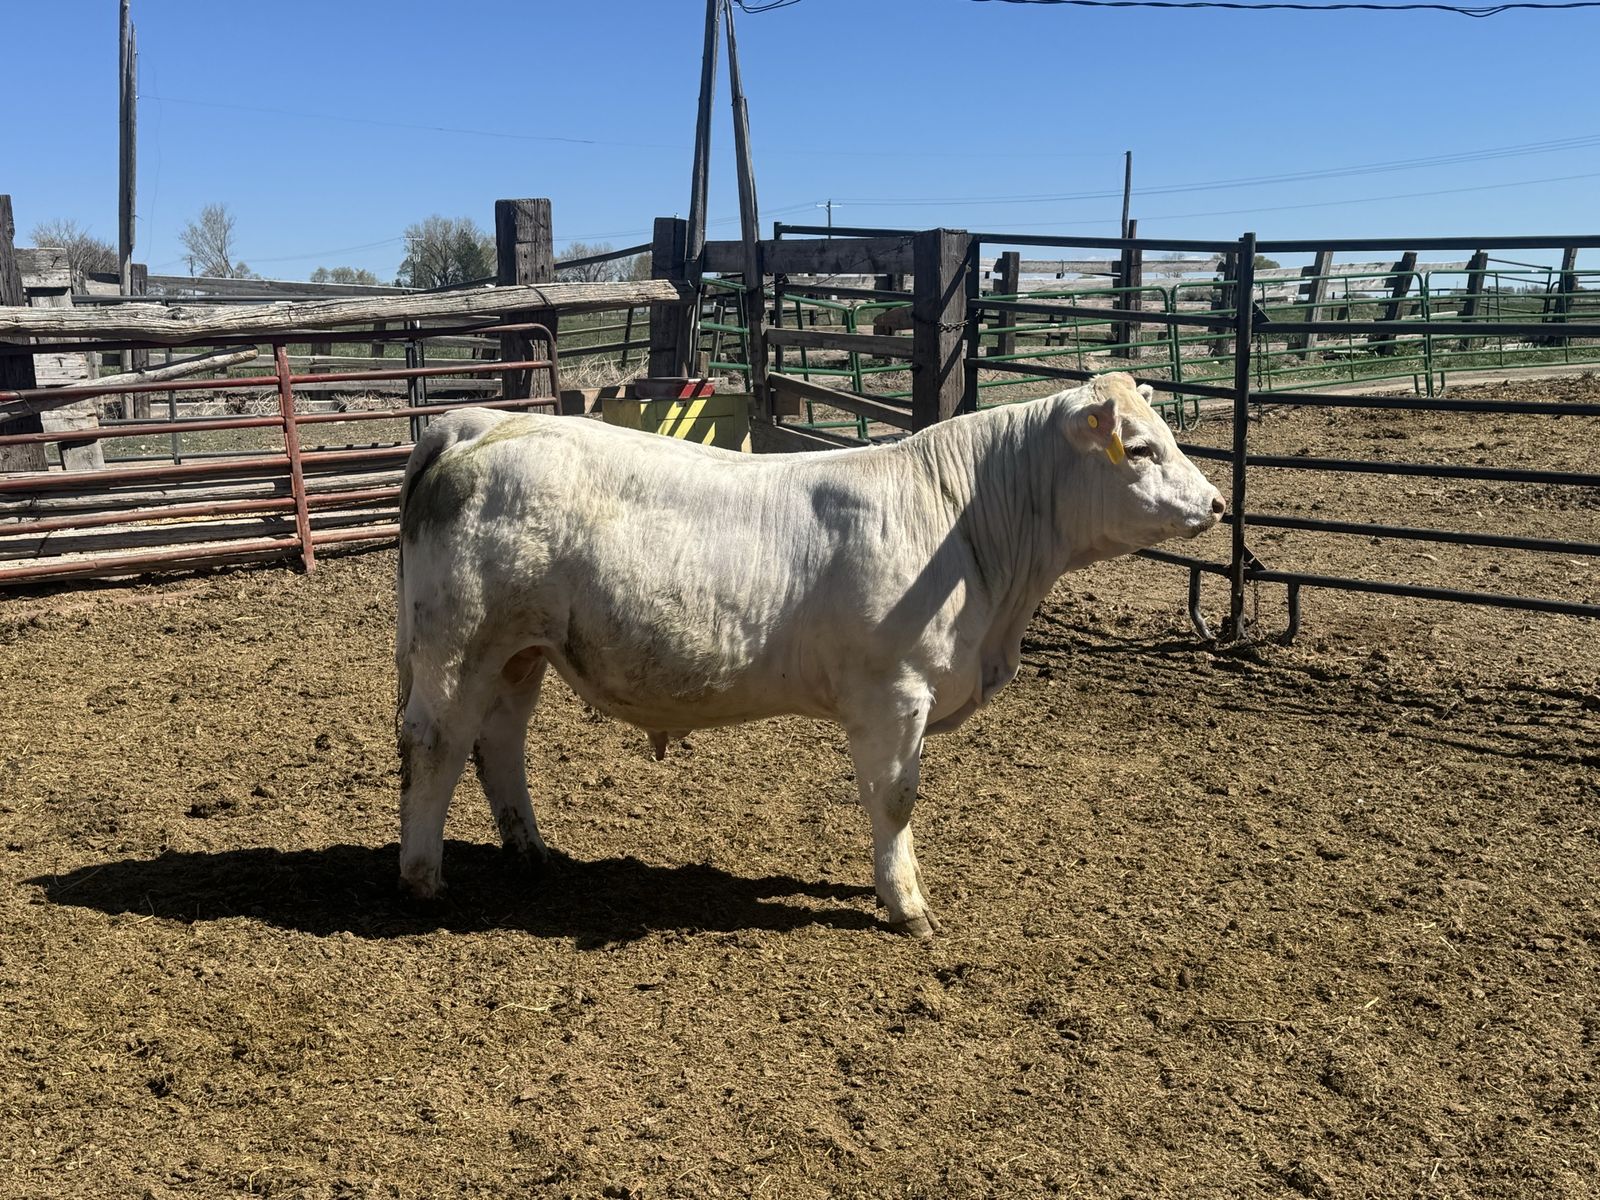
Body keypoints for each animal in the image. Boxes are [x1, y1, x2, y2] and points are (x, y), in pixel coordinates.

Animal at [394, 372, 1223, 937]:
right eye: (1140, 448)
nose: (1216, 503)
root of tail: (475, 422)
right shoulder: (894, 694)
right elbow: (895, 797)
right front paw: (906, 904)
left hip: (519, 652)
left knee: (499, 740)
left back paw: (530, 850)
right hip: (458, 642)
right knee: (435, 743)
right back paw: (423, 878)